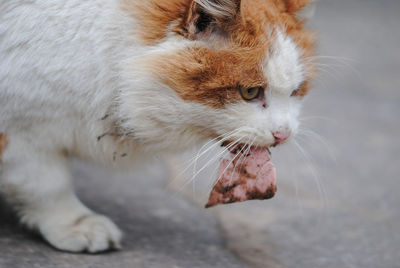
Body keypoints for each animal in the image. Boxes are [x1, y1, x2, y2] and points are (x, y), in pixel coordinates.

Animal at [0, 0, 318, 252]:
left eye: (295, 91)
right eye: (250, 92)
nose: (284, 134)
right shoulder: (22, 131)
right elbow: (47, 184)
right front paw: (72, 223)